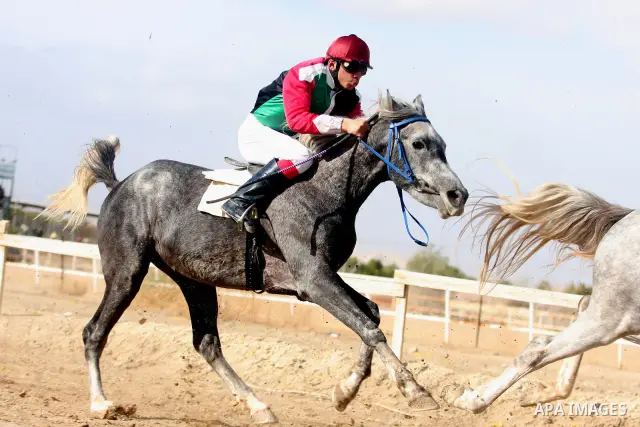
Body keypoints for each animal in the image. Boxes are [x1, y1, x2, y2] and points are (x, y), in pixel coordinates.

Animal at [40, 91, 469, 424]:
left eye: (445, 146)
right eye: (419, 144)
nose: (458, 196)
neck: (326, 193)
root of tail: (120, 185)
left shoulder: (318, 277)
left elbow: (372, 315)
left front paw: (345, 392)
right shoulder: (312, 279)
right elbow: (369, 327)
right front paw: (416, 391)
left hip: (194, 279)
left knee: (206, 343)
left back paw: (258, 405)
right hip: (127, 271)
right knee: (94, 331)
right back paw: (101, 402)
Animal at [441, 181, 640, 413]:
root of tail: (625, 216)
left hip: (621, 318)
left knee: (571, 316)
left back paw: (536, 394)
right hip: (611, 320)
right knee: (537, 350)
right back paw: (470, 400)